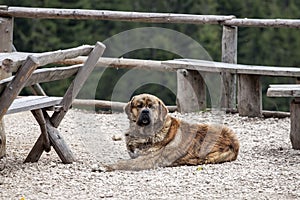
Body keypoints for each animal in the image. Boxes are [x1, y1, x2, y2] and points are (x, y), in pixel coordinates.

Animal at [98, 94, 239, 172]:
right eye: (139, 105)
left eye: (151, 106)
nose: (145, 111)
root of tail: (234, 142)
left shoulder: (146, 160)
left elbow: (123, 163)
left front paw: (104, 166)